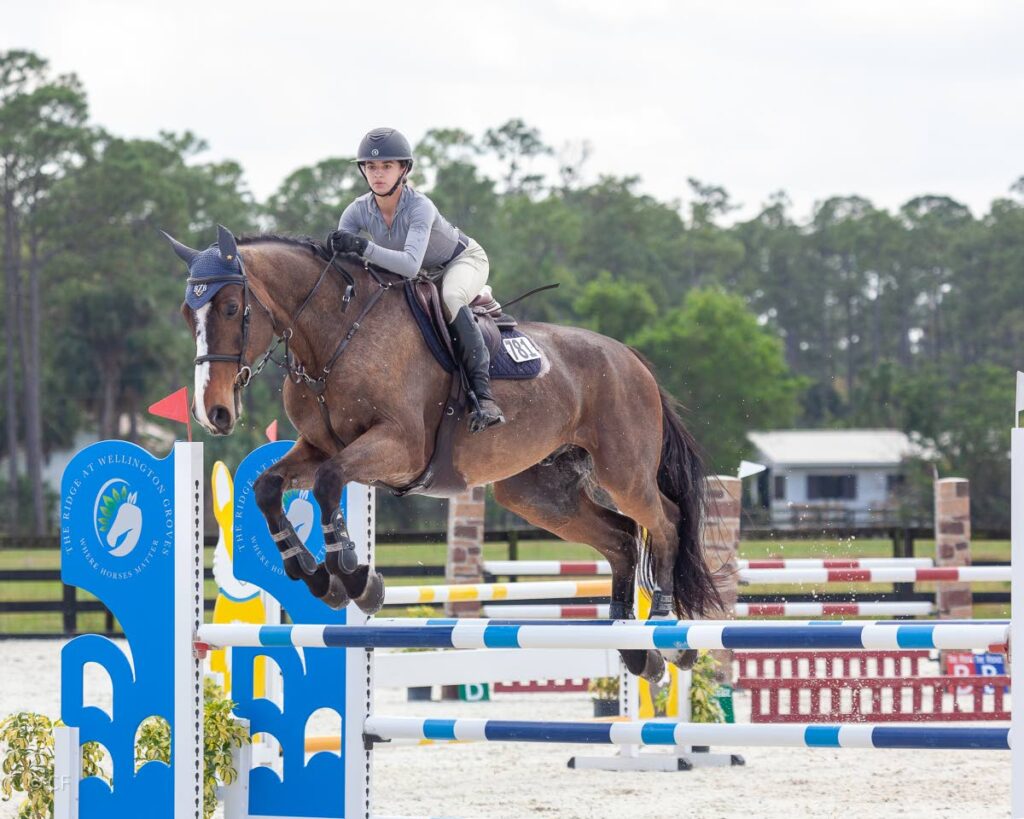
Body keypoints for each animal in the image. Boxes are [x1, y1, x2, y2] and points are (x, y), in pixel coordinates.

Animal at [165, 224, 720, 679]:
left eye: (231, 308)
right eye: (188, 312)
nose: (213, 413)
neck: (334, 339)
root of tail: (634, 360)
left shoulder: (399, 447)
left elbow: (327, 484)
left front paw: (355, 577)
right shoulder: (318, 447)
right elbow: (267, 487)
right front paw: (316, 575)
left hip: (623, 472)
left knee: (665, 522)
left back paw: (669, 632)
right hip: (538, 494)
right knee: (622, 538)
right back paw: (635, 649)